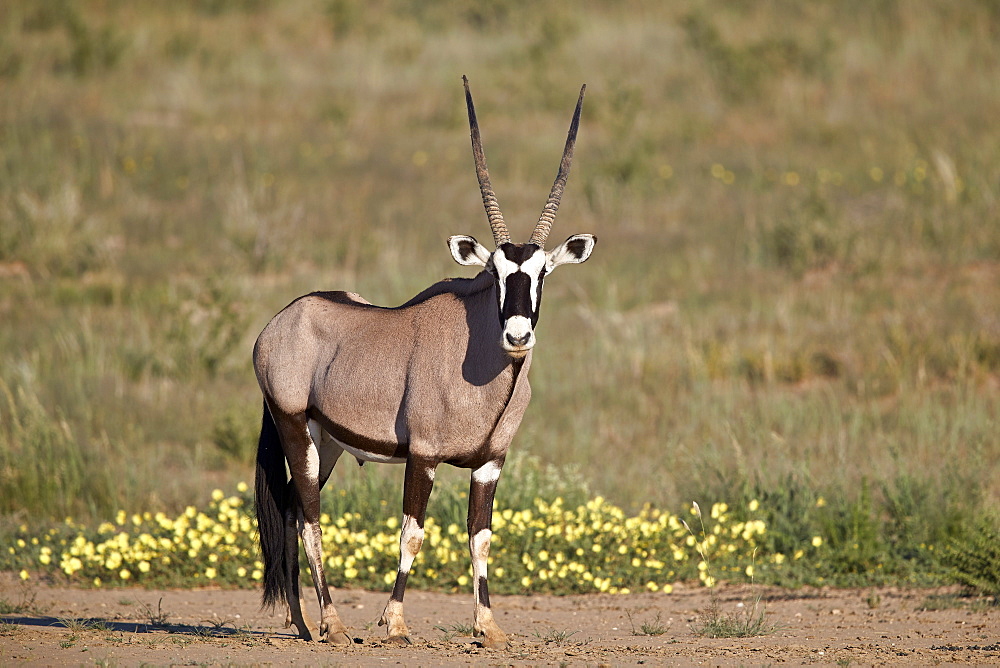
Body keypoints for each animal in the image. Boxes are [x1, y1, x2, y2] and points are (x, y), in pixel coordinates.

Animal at [254, 77, 596, 648]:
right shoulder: (423, 455)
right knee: (310, 516)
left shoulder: (490, 462)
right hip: (294, 426)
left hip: (327, 442)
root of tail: (278, 323)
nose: (517, 334)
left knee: (292, 509)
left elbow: (481, 537)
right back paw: (334, 623)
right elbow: (411, 534)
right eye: (496, 272)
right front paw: (393, 622)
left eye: (542, 273)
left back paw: (304, 623)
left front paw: (488, 625)